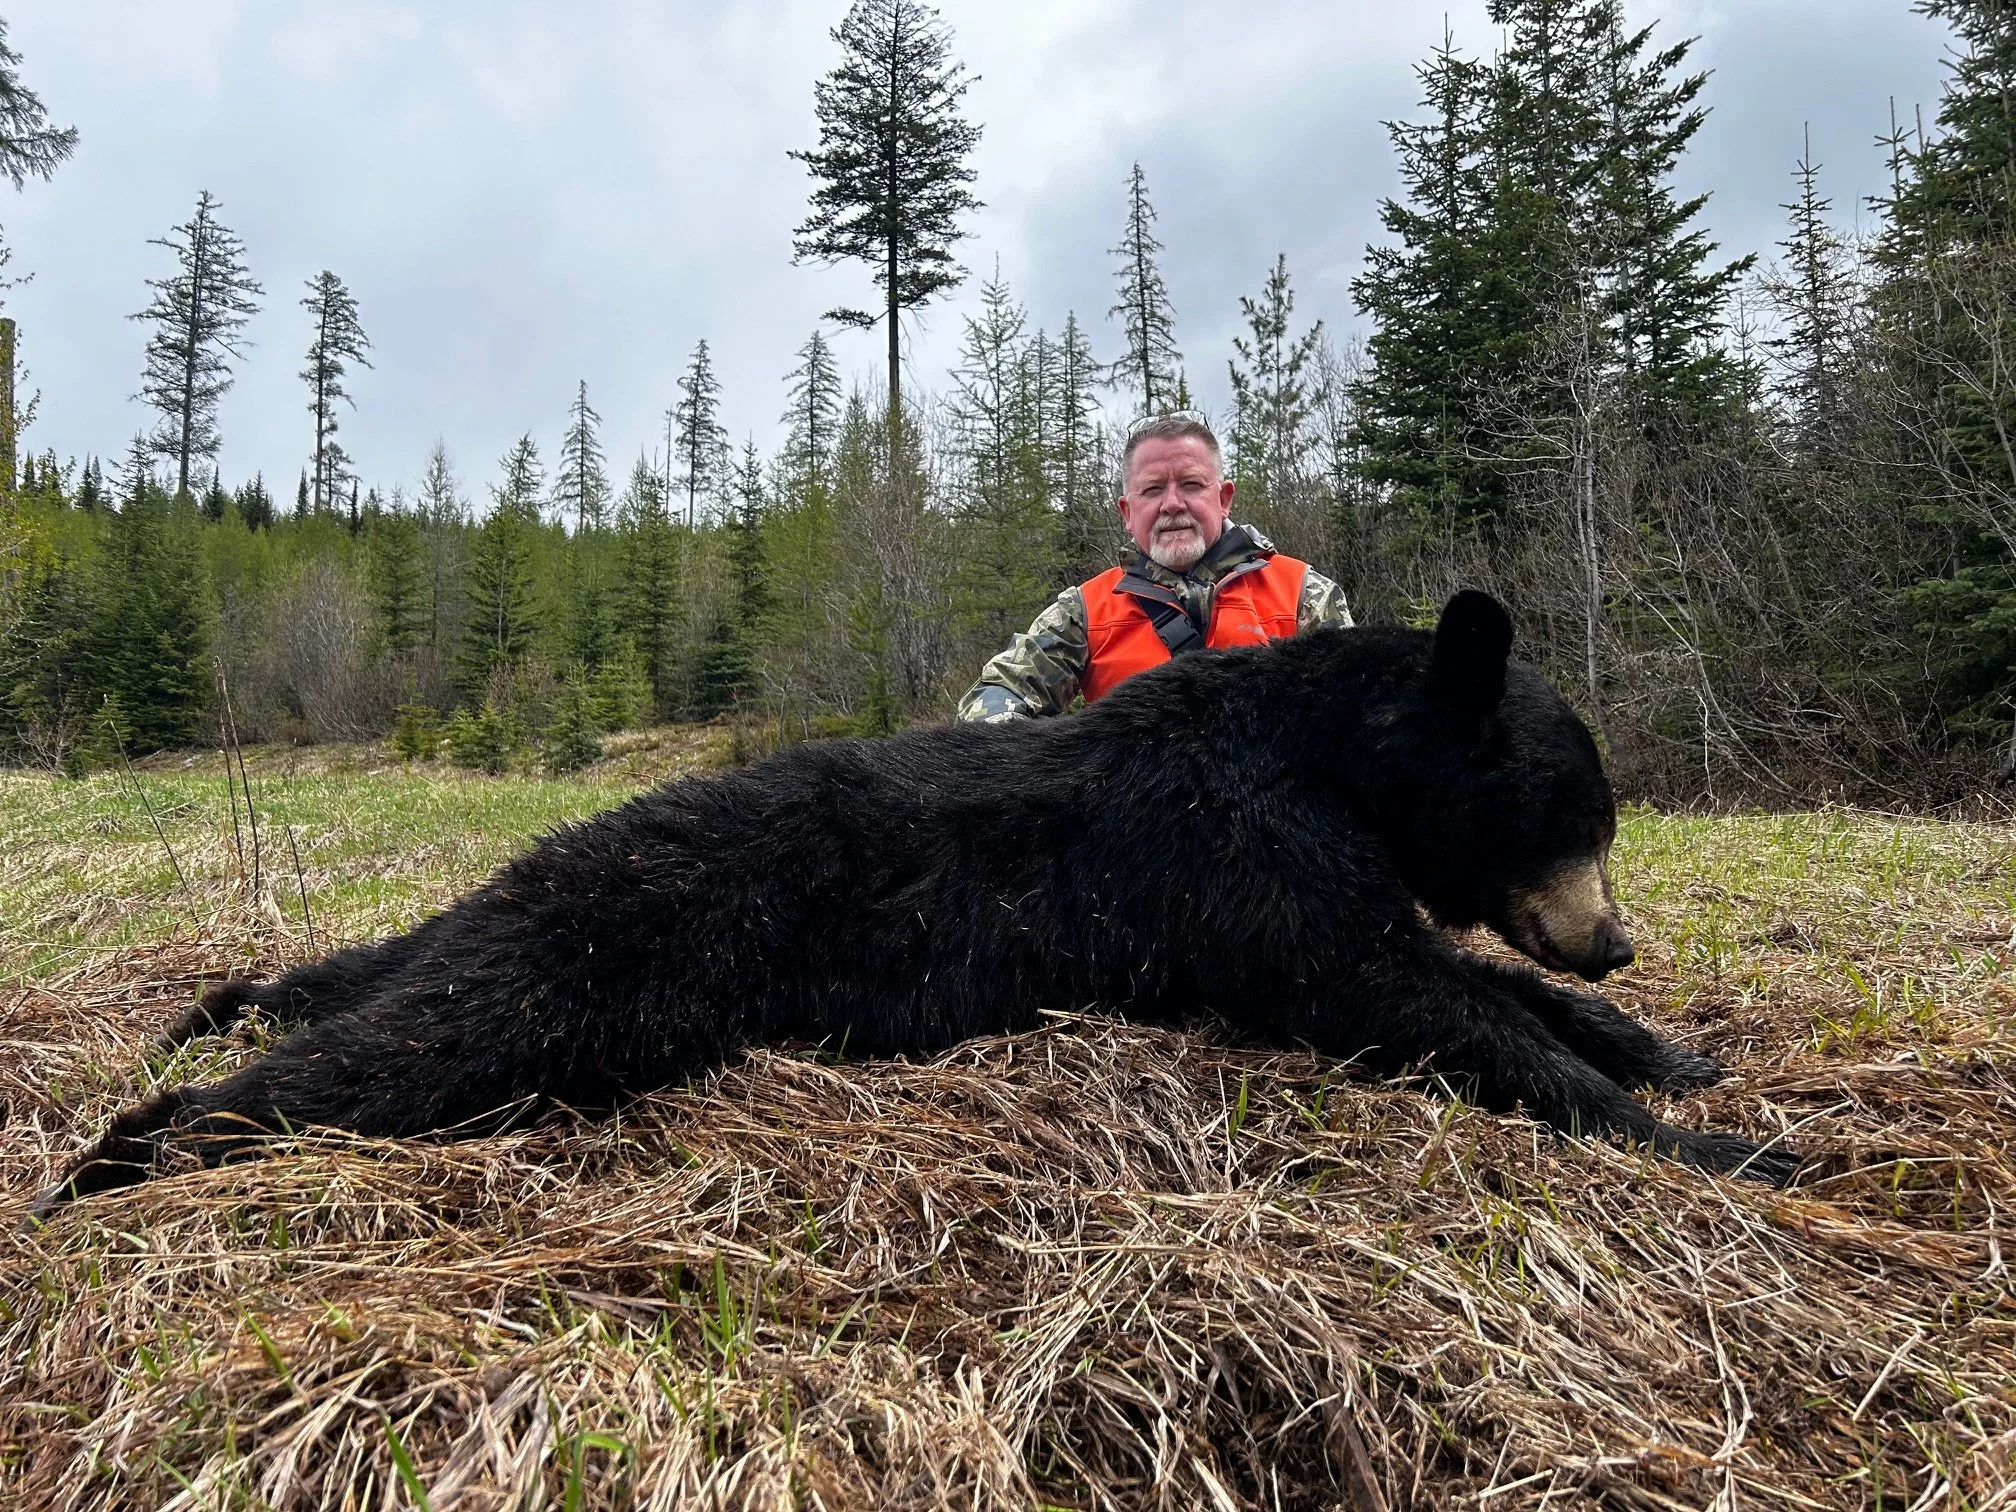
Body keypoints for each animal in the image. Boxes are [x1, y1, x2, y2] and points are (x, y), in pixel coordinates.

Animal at [30, 591, 1797, 1218]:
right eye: (1576, 817)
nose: (1619, 932)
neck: (1316, 754)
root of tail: (543, 858)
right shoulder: (1243, 874)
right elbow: (1419, 1001)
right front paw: (1721, 1144)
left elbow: (1473, 981)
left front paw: (1663, 1046)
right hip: (597, 960)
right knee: (401, 1053)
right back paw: (119, 1159)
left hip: (502, 929)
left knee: (362, 979)